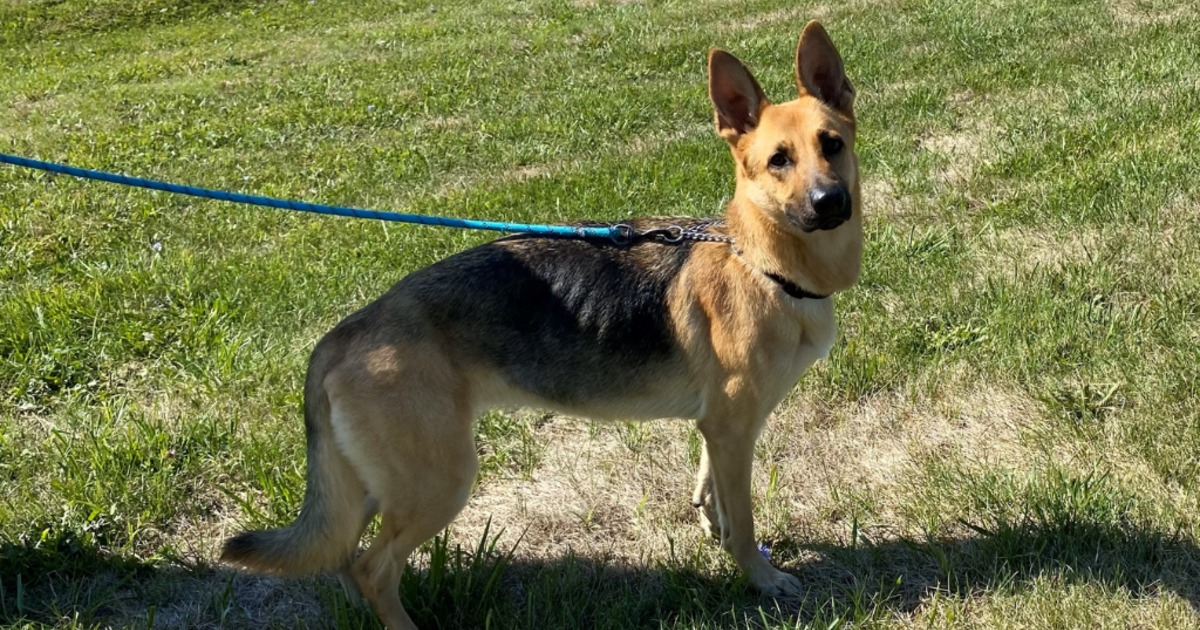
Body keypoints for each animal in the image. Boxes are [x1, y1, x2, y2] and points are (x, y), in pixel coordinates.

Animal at [223, 20, 864, 628]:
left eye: (831, 144)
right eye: (778, 160)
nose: (830, 202)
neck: (758, 261)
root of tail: (343, 334)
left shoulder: (719, 429)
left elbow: (713, 494)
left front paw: (717, 533)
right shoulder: (733, 431)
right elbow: (744, 518)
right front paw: (760, 576)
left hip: (374, 490)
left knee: (343, 562)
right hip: (439, 483)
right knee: (371, 567)